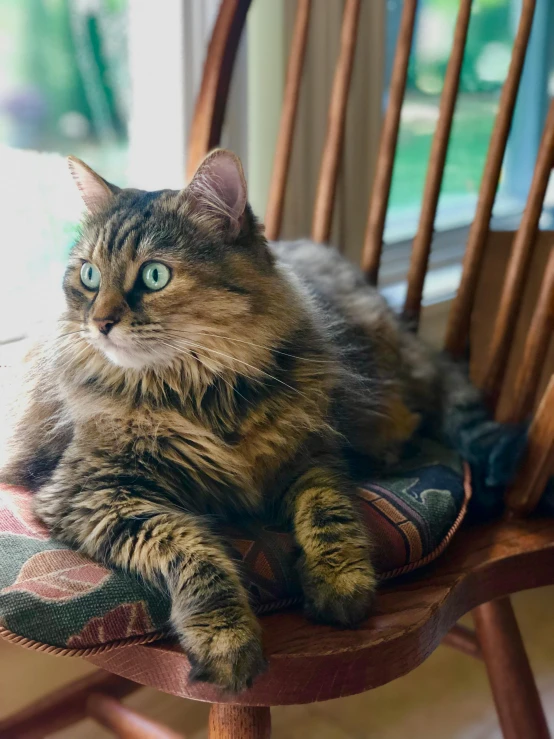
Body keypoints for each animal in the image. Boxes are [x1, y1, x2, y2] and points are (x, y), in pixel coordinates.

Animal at [1, 150, 520, 692]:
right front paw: (227, 639)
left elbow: (328, 513)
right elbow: (192, 551)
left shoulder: (310, 458)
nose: (99, 323)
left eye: (155, 276)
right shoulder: (95, 494)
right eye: (89, 276)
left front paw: (340, 581)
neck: (203, 391)